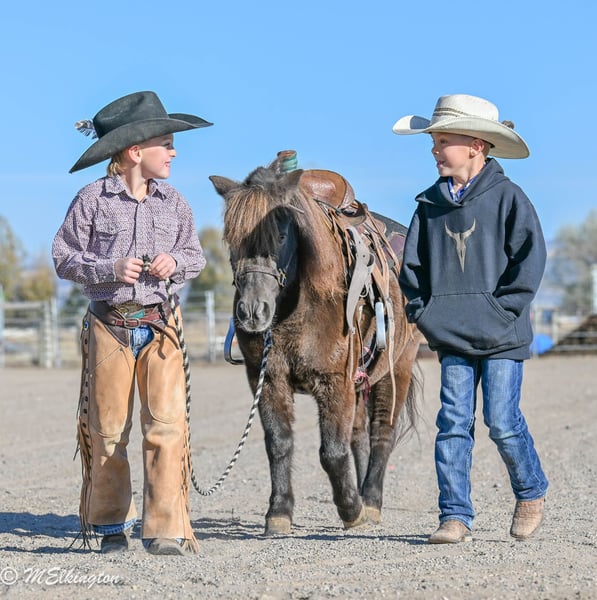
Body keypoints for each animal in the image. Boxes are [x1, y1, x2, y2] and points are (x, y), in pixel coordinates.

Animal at [209, 152, 421, 535]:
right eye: (231, 239)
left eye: (280, 235)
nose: (252, 311)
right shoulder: (269, 379)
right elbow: (279, 443)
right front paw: (279, 512)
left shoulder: (333, 381)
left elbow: (332, 451)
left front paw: (351, 510)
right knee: (359, 435)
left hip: (397, 368)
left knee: (382, 432)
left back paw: (370, 502)